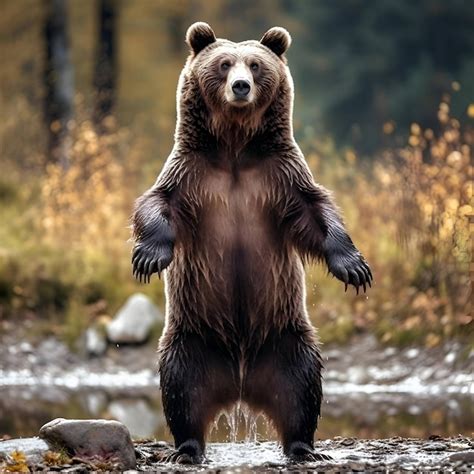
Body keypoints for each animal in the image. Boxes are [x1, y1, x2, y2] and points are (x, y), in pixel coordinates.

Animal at [131, 22, 372, 462]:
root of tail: (240, 388)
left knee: (301, 389)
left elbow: (316, 210)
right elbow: (157, 203)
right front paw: (149, 257)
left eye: (256, 65)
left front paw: (354, 266)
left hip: (285, 339)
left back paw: (304, 447)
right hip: (192, 339)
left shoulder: (279, 175)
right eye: (225, 64)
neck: (234, 149)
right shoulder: (192, 173)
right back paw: (186, 448)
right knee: (180, 389)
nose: (240, 86)